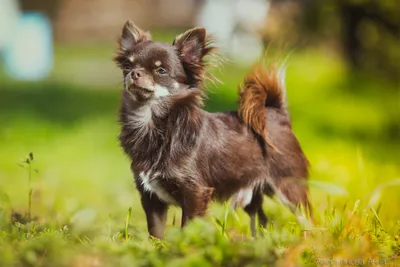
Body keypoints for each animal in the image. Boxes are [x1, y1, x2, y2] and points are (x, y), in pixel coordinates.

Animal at [113, 20, 312, 239]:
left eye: (161, 71)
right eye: (127, 66)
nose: (134, 73)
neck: (152, 123)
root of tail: (276, 113)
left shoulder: (195, 193)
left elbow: (188, 228)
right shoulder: (150, 198)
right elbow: (156, 233)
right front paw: (156, 247)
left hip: (289, 187)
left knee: (307, 218)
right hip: (251, 194)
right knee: (261, 220)